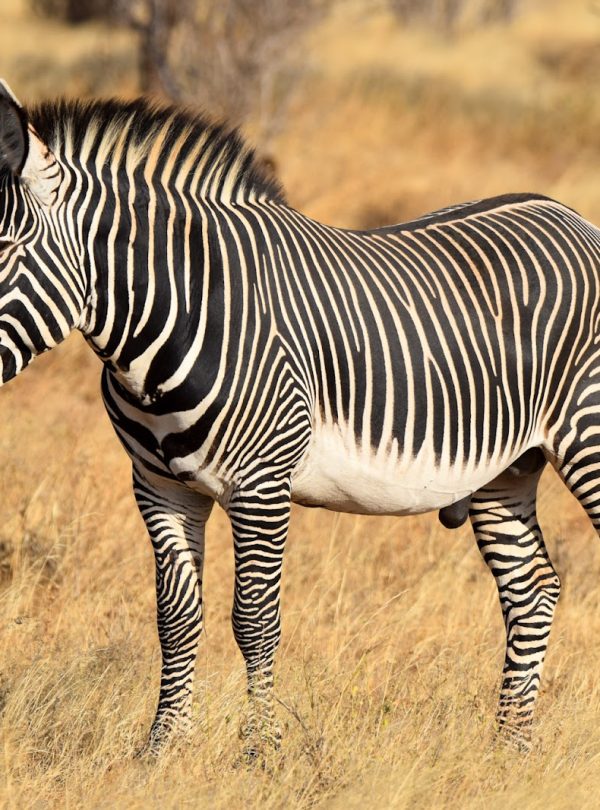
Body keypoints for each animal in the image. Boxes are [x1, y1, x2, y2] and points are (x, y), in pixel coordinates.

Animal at [0, 78, 596, 756]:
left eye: (6, 249)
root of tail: (570, 214)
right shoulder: (159, 487)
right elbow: (176, 618)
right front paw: (162, 749)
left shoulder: (261, 482)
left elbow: (255, 618)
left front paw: (261, 752)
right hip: (507, 467)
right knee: (532, 590)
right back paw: (509, 746)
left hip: (586, 432)